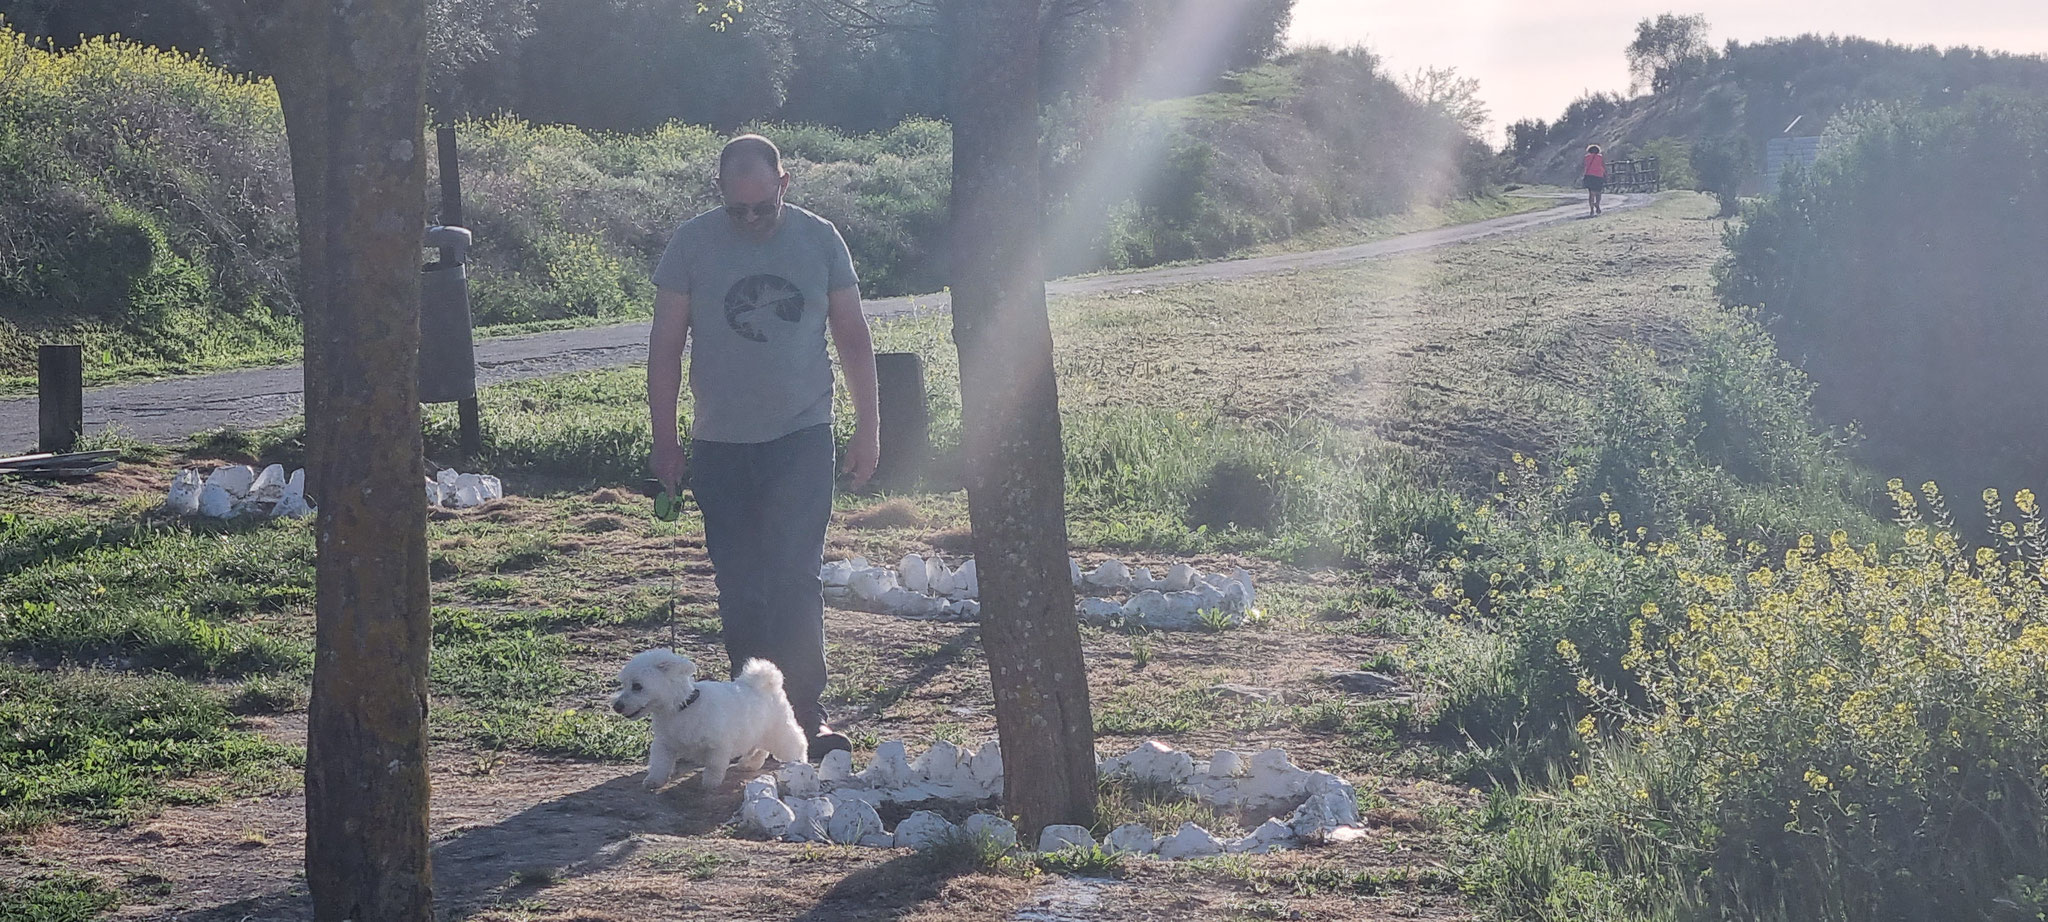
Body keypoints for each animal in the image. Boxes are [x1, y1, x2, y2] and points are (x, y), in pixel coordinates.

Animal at [606, 647, 806, 790]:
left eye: (637, 686)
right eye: (624, 684)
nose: (617, 706)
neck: (681, 707)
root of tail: (768, 684)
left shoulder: (718, 746)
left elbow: (713, 766)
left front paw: (710, 783)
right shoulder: (664, 744)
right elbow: (659, 764)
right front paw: (654, 781)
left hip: (780, 731)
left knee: (797, 744)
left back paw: (799, 765)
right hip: (757, 731)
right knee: (759, 749)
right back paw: (749, 764)